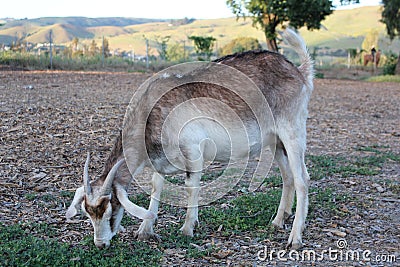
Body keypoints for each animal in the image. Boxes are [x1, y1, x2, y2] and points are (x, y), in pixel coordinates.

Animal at [67, 29, 314, 251]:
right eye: (87, 213)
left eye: (111, 210)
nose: (100, 244)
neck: (151, 112)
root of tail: (300, 71)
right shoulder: (160, 159)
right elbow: (157, 186)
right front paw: (145, 230)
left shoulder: (193, 151)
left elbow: (190, 188)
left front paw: (187, 228)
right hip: (275, 141)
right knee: (288, 177)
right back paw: (278, 221)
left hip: (292, 130)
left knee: (302, 179)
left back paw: (295, 238)